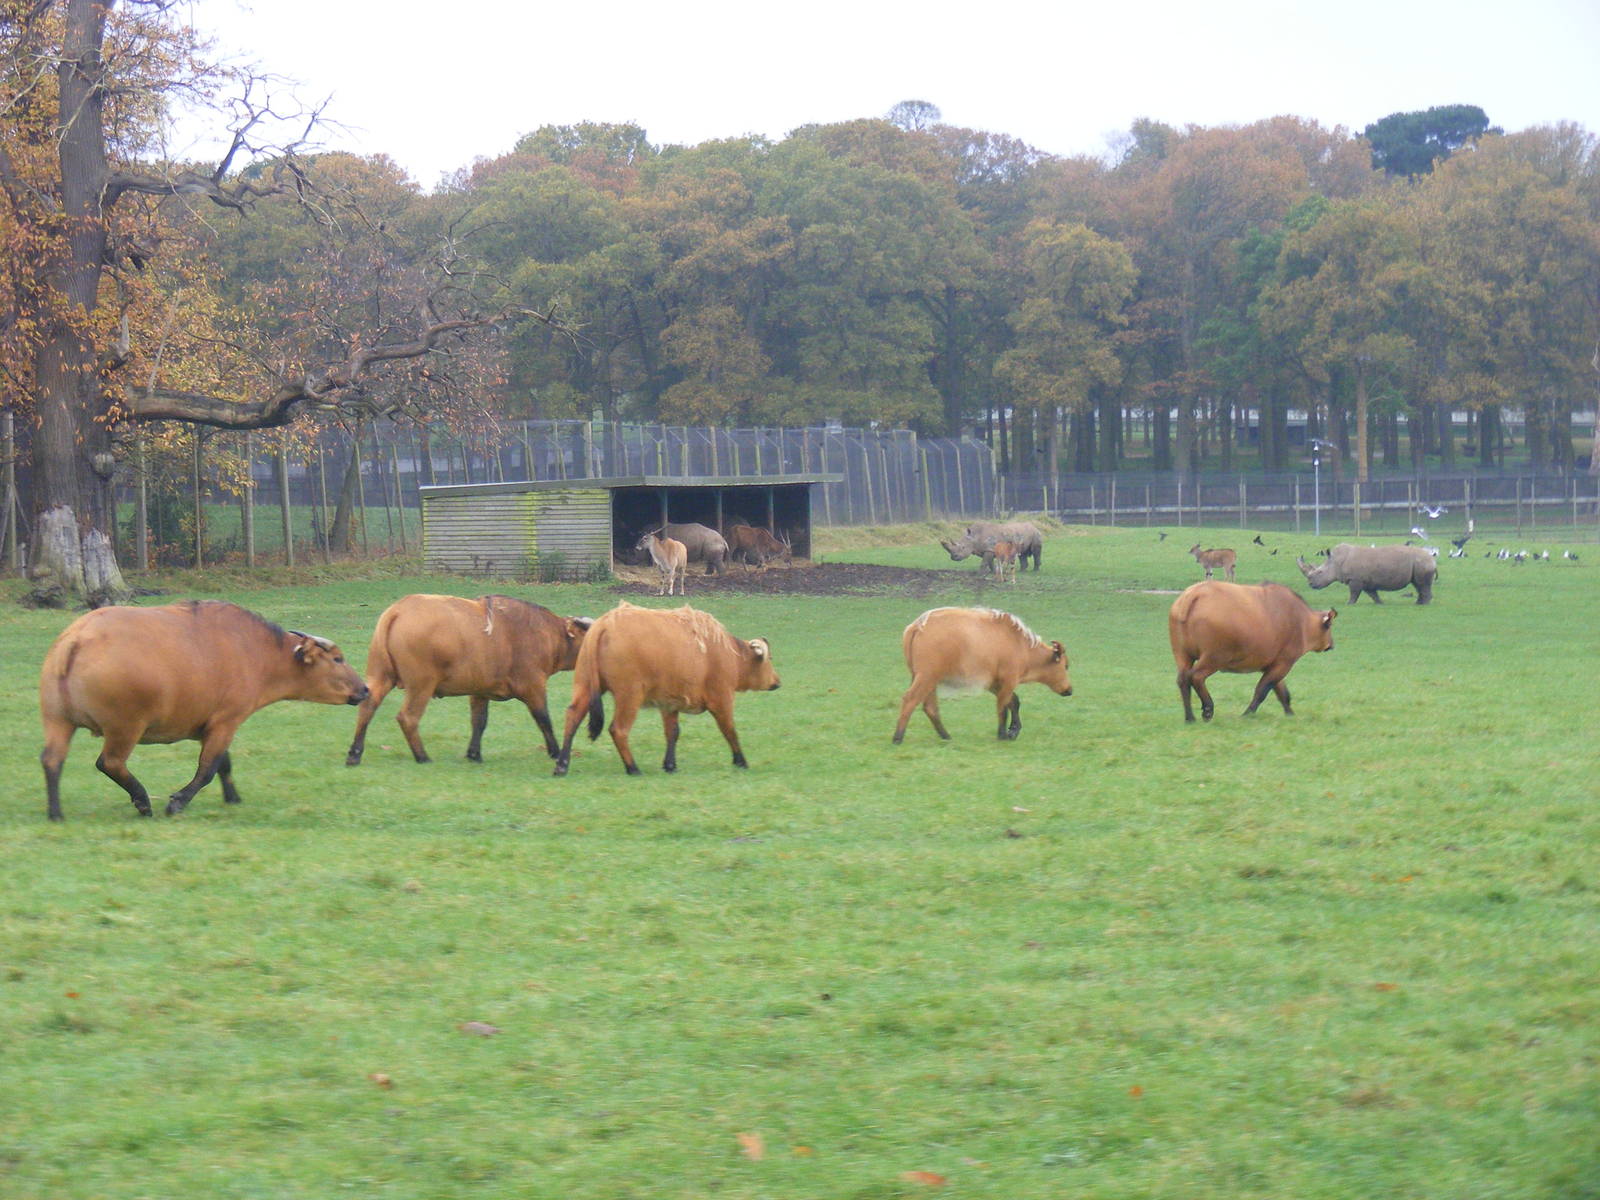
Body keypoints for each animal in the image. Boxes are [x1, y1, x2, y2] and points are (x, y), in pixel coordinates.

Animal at [1296, 543, 1437, 605]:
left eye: (1320, 572)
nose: (1311, 584)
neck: (1335, 562)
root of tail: (1432, 558)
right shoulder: (1366, 581)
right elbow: (1372, 594)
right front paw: (1380, 603)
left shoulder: (1355, 579)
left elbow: (1354, 593)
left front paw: (1349, 604)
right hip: (1419, 563)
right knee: (1417, 584)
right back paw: (1418, 603)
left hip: (1422, 562)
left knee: (1422, 584)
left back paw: (1423, 604)